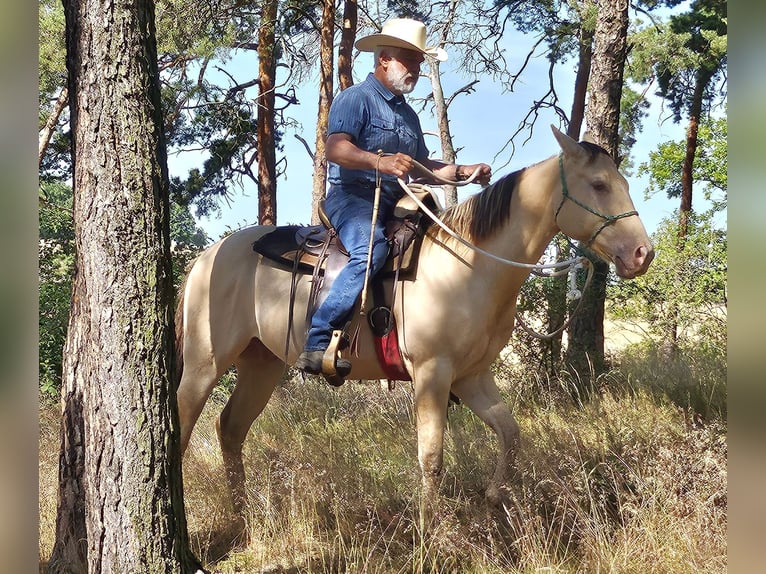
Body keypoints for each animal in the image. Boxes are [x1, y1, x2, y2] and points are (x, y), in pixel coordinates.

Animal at [175, 125, 654, 521]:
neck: (469, 265)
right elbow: (432, 456)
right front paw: (432, 528)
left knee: (230, 428)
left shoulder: (471, 376)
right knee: (182, 423)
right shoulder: (432, 372)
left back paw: (242, 516)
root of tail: (206, 256)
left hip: (261, 364)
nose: (642, 254)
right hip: (205, 362)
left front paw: (494, 494)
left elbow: (510, 433)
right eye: (599, 185)